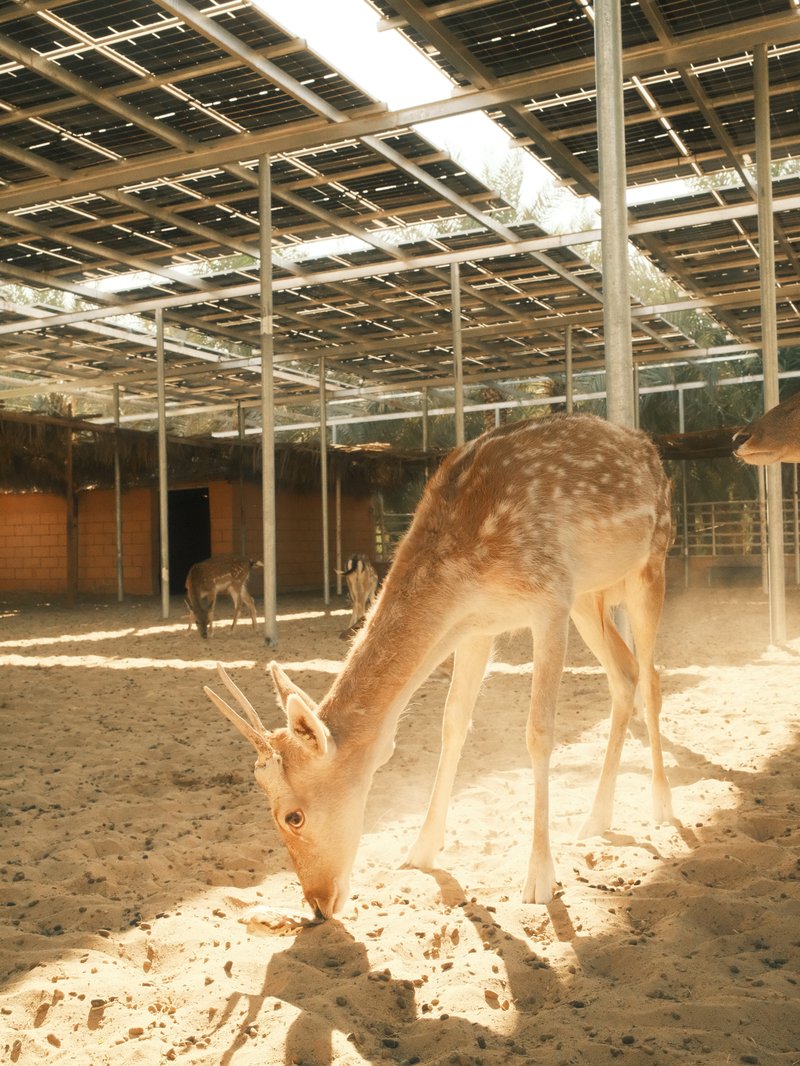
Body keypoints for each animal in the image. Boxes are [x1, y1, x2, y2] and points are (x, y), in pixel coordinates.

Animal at [204, 413, 674, 919]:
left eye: (293, 816)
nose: (317, 905)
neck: (466, 570)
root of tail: (648, 448)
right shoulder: (478, 627)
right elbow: (452, 724)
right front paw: (420, 850)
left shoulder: (549, 598)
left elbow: (539, 732)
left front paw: (539, 879)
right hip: (589, 596)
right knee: (624, 674)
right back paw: (596, 817)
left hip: (649, 563)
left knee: (651, 678)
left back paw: (662, 806)